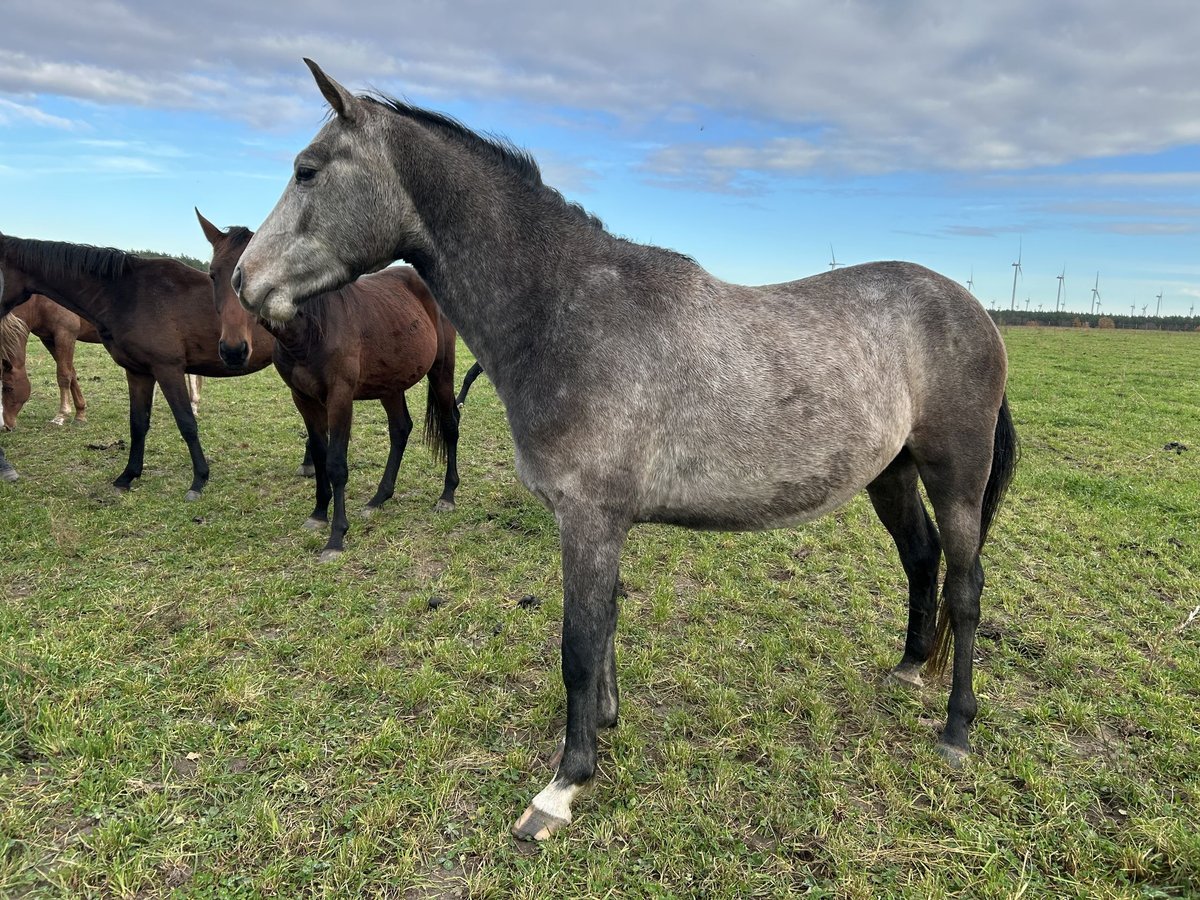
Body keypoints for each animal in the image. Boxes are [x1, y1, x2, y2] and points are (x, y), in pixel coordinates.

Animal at [0, 233, 277, 499]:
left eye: (8, 388)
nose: (6, 426)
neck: (127, 294)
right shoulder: (138, 372)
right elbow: (138, 424)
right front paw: (128, 476)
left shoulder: (168, 369)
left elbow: (187, 423)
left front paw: (199, 480)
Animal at [197, 211, 462, 561]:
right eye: (213, 275)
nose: (233, 350)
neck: (310, 331)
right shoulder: (304, 399)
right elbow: (320, 454)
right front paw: (318, 515)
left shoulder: (339, 398)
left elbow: (336, 463)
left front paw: (336, 537)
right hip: (390, 384)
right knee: (400, 429)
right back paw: (379, 498)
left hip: (442, 371)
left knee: (450, 425)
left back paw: (447, 496)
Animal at [233, 60, 1018, 841]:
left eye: (306, 171)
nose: (245, 282)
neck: (568, 314)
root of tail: (972, 309)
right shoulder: (601, 523)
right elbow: (605, 623)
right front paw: (606, 723)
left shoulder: (588, 518)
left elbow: (579, 646)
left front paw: (565, 784)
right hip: (891, 474)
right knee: (919, 559)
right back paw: (908, 669)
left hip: (957, 474)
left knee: (966, 587)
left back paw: (956, 730)